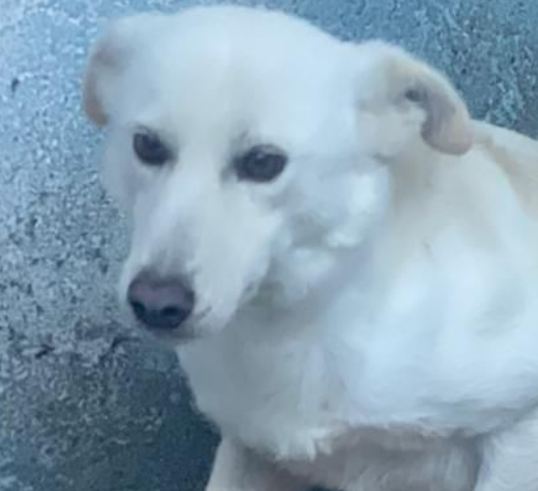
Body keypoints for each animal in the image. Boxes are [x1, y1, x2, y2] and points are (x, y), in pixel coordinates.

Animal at [83, 5, 538, 490]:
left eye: (263, 162)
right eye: (147, 145)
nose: (155, 303)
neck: (298, 325)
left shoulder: (519, 428)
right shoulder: (250, 449)